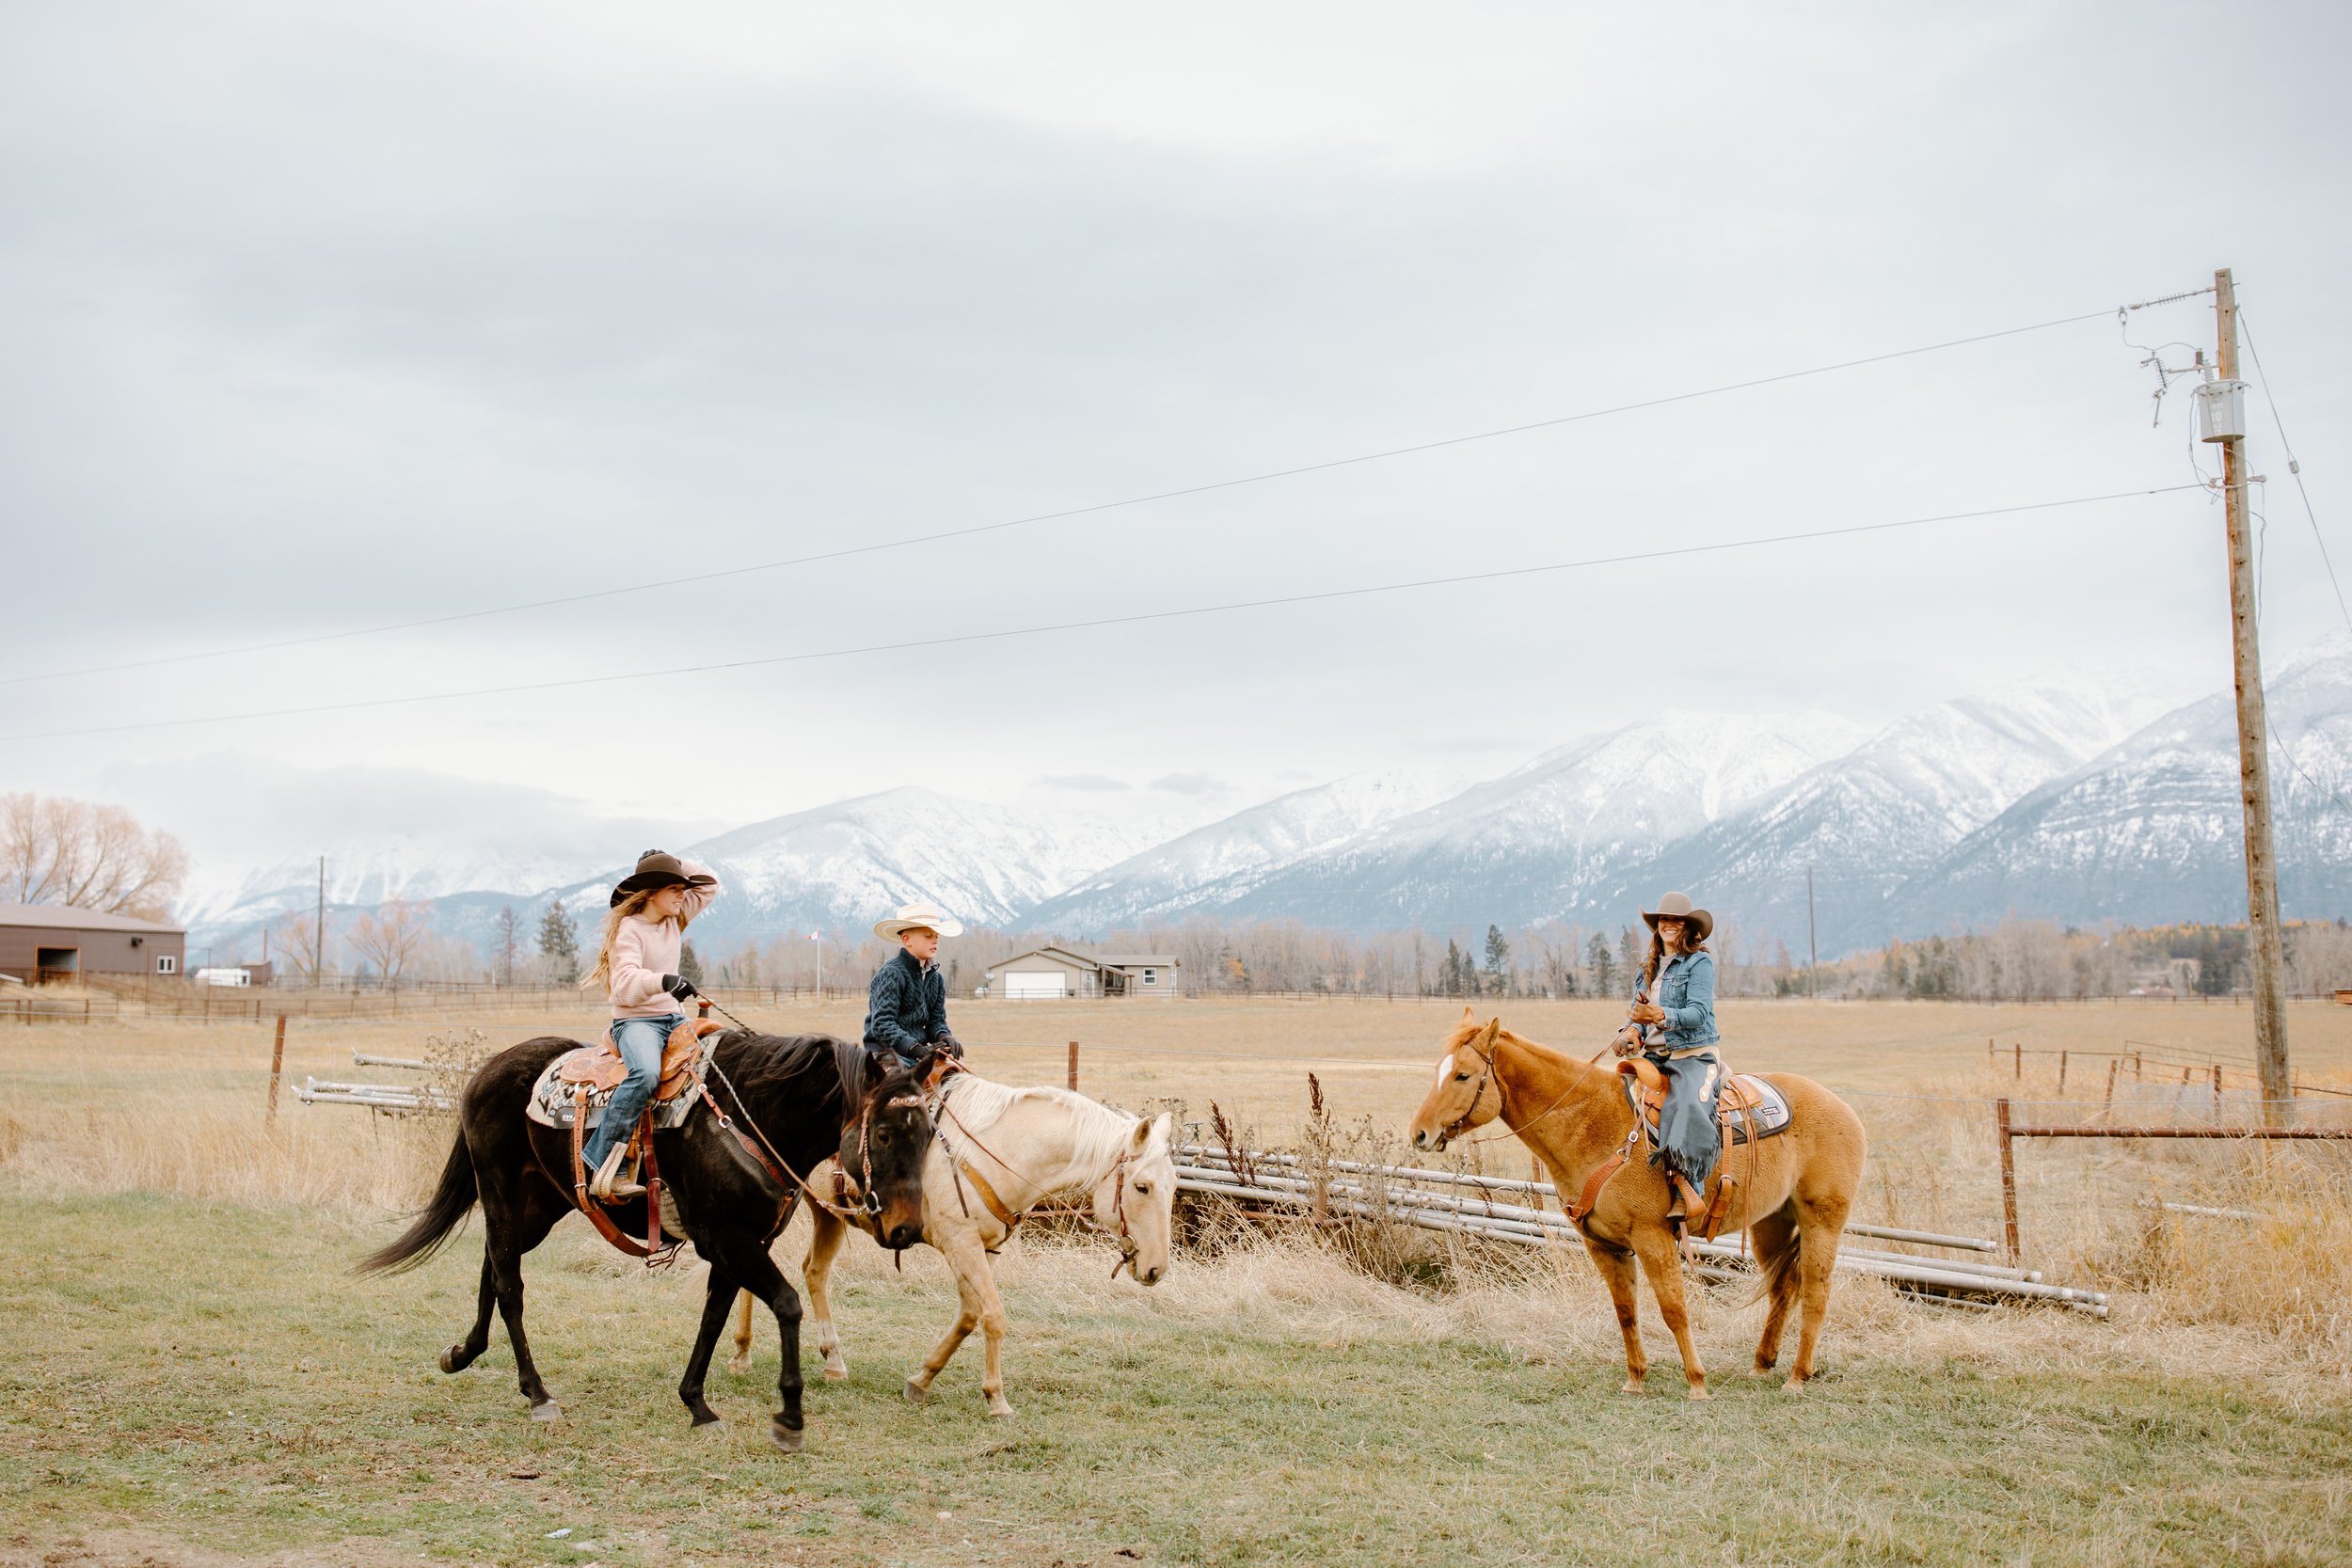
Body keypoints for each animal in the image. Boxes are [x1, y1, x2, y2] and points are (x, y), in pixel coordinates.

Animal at [358, 1034, 927, 1457]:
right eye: (882, 1133)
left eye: (925, 1134)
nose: (907, 1229)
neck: (751, 1116)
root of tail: (487, 1069)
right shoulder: (729, 1241)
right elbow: (786, 1305)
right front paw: (789, 1418)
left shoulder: (740, 1245)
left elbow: (714, 1318)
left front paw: (697, 1405)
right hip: (499, 1192)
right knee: (509, 1284)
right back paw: (538, 1393)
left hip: (541, 1206)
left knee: (493, 1268)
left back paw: (463, 1353)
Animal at [715, 1067, 1176, 1419]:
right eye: (1142, 1187)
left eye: (1172, 1186)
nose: (1156, 1269)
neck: (993, 1152)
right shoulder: (960, 1243)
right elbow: (993, 1316)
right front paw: (997, 1399)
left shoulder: (983, 1249)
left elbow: (969, 1316)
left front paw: (921, 1379)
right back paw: (741, 1353)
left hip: (826, 1213)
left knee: (814, 1271)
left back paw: (833, 1361)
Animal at [1402, 1020, 1863, 1401]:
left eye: (1462, 1075)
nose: (1420, 1134)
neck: (1593, 1124)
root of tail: (1844, 1109)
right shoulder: (1603, 1244)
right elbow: (1626, 1311)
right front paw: (1635, 1379)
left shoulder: (1652, 1238)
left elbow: (1674, 1309)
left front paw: (1697, 1384)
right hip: (1771, 1223)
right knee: (1783, 1289)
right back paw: (1761, 1365)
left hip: (1822, 1220)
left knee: (1816, 1292)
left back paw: (1798, 1377)